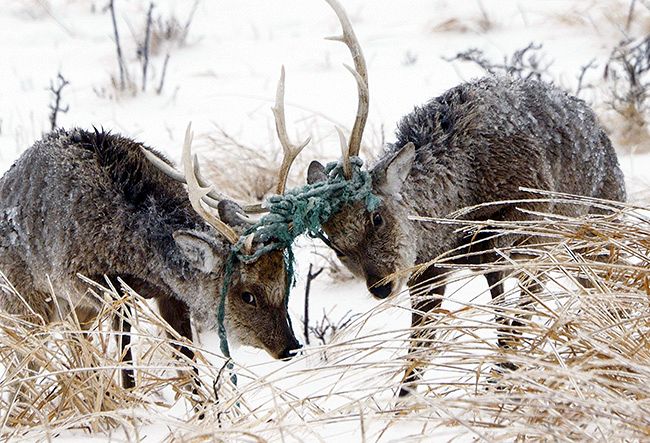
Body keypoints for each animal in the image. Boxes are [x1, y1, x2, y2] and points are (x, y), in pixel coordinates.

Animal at [0, 71, 306, 390]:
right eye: (247, 295)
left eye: (286, 283)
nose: (290, 346)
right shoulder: (99, 287)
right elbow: (127, 370)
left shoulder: (170, 296)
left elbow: (189, 370)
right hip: (24, 303)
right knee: (20, 371)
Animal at [302, 0, 624, 396]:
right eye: (334, 245)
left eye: (376, 217)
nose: (380, 286)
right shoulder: (428, 272)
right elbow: (417, 355)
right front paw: (403, 402)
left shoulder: (523, 231)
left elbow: (508, 316)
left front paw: (502, 378)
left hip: (594, 227)